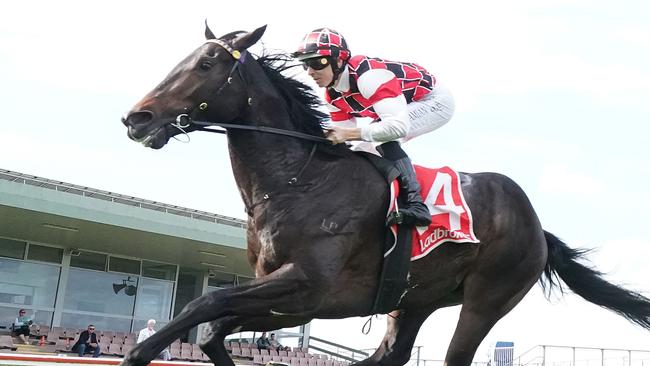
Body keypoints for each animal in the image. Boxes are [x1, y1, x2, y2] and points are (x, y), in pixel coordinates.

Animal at [120, 25, 648, 366]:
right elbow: (211, 331)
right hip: (414, 300)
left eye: (206, 63)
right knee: (389, 354)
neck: (297, 181)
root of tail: (538, 225)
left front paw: (138, 353)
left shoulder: (308, 287)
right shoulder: (290, 300)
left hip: (487, 298)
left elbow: (201, 306)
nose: (136, 118)